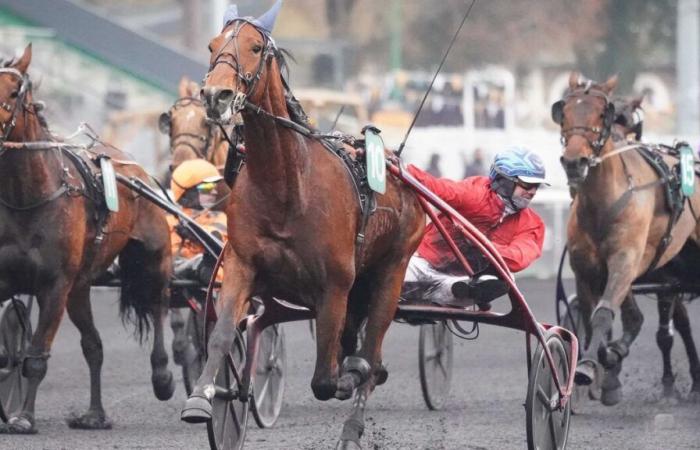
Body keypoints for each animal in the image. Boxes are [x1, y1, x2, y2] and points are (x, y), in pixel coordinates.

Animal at [0, 44, 174, 432]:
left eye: (14, 92)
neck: (27, 197)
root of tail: (133, 167)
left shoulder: (55, 285)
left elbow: (36, 356)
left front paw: (23, 417)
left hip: (153, 257)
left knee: (158, 304)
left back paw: (163, 377)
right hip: (80, 288)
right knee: (94, 345)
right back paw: (94, 414)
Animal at [178, 4, 424, 450]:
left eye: (255, 47)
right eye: (212, 44)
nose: (216, 95)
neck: (288, 187)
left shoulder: (335, 286)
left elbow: (326, 379)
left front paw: (349, 375)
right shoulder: (241, 265)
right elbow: (221, 335)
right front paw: (203, 398)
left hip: (391, 271)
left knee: (371, 347)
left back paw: (353, 417)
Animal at [552, 73, 700, 404]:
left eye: (601, 114)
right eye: (563, 112)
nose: (575, 162)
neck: (602, 202)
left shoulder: (626, 259)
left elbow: (606, 315)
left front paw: (597, 366)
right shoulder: (588, 268)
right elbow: (598, 319)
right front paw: (605, 369)